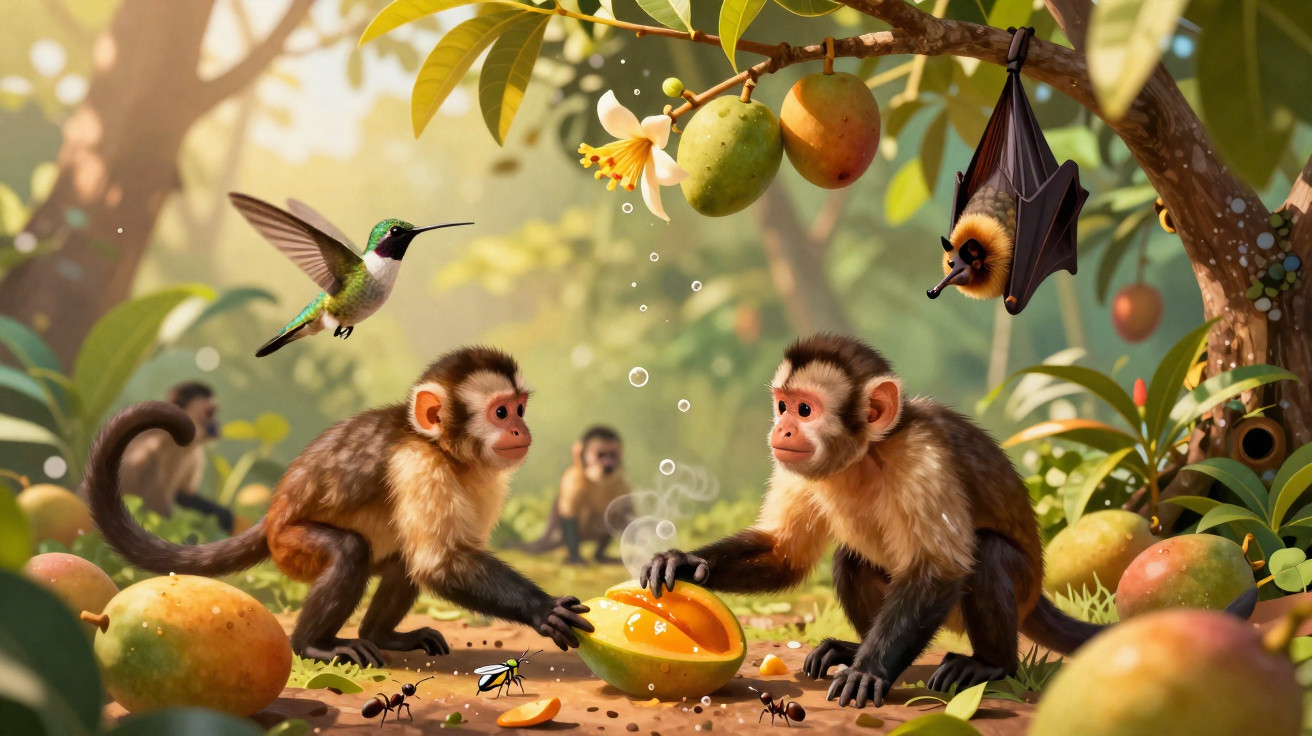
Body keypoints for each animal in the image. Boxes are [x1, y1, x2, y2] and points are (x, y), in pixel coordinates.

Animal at [116, 381, 233, 533]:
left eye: (214, 413)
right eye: (209, 413)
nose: (216, 424)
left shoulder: (194, 454)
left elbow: (183, 494)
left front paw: (223, 514)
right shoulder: (157, 450)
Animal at [522, 426, 629, 564]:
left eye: (612, 454)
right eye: (601, 455)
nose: (609, 465)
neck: (597, 479)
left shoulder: (621, 478)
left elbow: (621, 513)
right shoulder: (572, 477)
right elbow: (568, 514)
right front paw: (575, 558)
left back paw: (599, 556)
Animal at [640, 334, 1103, 709]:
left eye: (805, 410)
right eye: (782, 406)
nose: (782, 429)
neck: (864, 454)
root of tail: (1037, 591)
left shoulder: (922, 456)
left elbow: (939, 567)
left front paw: (869, 672)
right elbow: (783, 554)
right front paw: (685, 562)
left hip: (1015, 590)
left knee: (987, 553)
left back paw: (991, 665)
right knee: (851, 558)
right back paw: (852, 649)